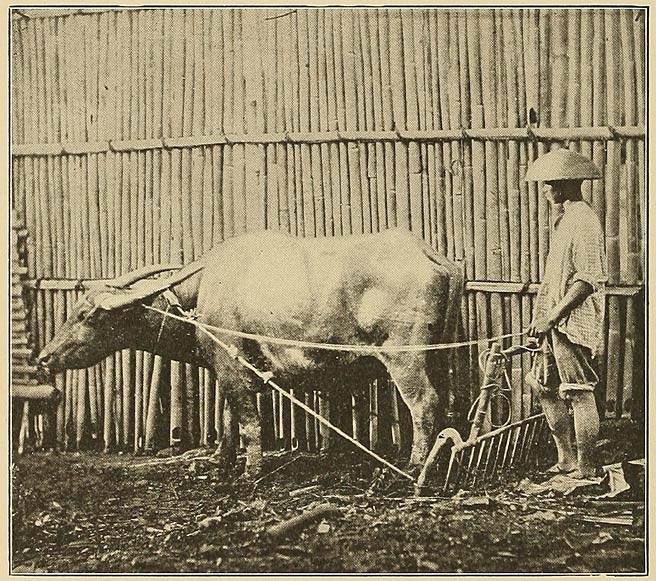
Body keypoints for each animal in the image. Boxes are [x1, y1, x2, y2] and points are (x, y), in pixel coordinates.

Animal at [38, 228, 464, 476]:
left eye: (86, 314)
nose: (44, 357)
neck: (204, 292)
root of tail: (433, 255)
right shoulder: (228, 370)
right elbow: (228, 418)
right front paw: (220, 460)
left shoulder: (233, 366)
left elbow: (248, 420)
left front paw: (251, 470)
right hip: (438, 355)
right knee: (444, 403)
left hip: (405, 357)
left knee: (424, 404)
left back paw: (414, 466)